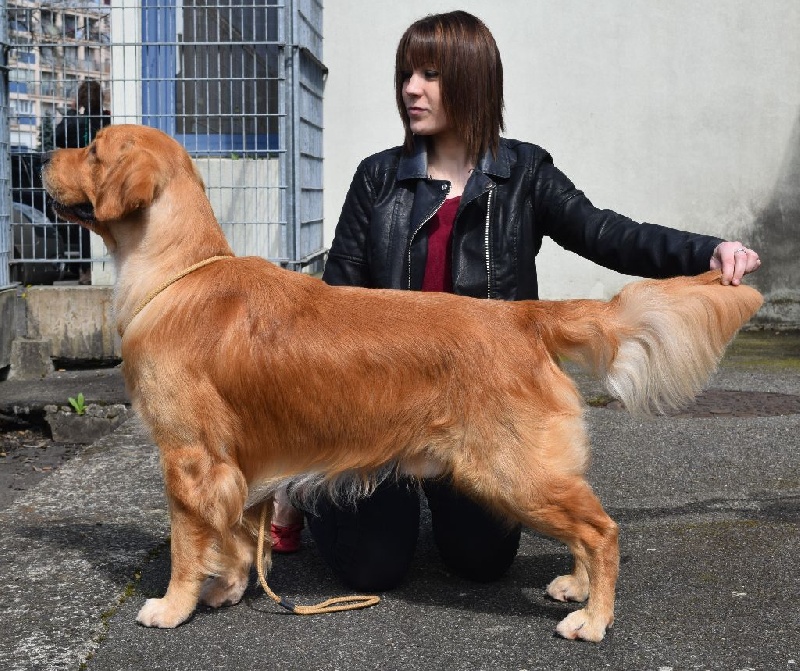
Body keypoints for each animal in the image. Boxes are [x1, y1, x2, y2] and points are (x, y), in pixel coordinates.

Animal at [42, 124, 763, 641]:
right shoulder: (238, 462)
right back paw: (577, 588)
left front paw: (173, 605)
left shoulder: (189, 457)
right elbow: (239, 537)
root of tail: (523, 316)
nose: (47, 150)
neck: (178, 274)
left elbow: (189, 544)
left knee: (603, 528)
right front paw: (228, 590)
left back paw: (593, 617)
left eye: (93, 149)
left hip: (512, 472)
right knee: (589, 525)